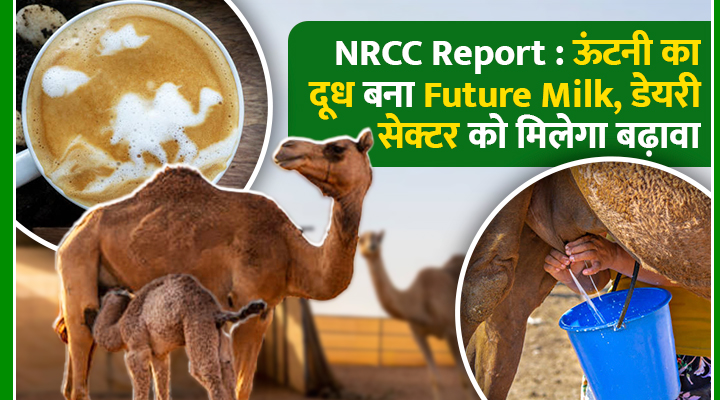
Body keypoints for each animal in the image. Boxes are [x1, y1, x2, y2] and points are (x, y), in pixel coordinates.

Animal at [93, 274, 266, 400]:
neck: (119, 328)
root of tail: (217, 312)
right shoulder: (159, 354)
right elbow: (161, 384)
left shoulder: (137, 349)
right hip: (218, 337)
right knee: (227, 370)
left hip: (198, 328)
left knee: (205, 373)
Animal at [358, 231, 473, 400]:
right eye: (360, 240)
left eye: (377, 238)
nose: (372, 247)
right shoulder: (418, 334)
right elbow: (435, 380)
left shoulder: (451, 331)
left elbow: (464, 380)